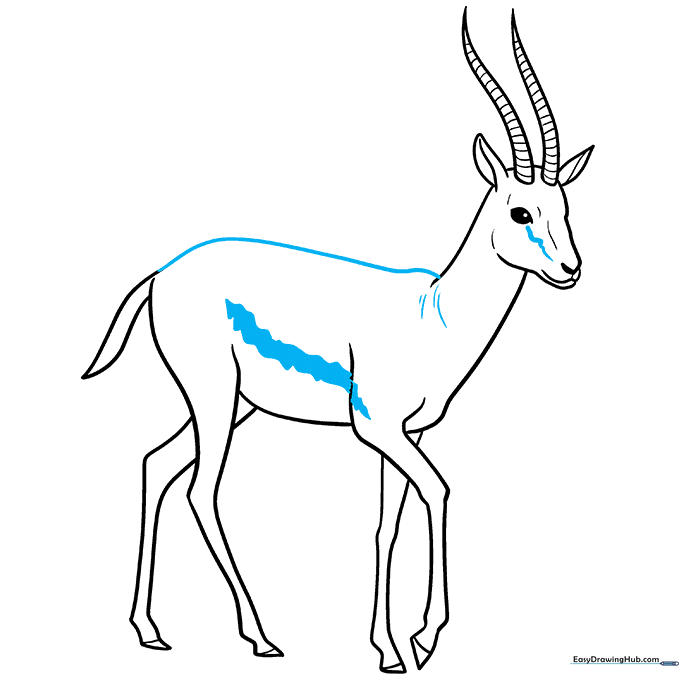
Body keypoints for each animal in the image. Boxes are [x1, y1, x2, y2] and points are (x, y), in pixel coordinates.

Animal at [82, 9, 594, 674]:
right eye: (520, 212)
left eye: (565, 206)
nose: (571, 269)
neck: (435, 316)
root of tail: (162, 273)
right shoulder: (376, 427)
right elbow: (438, 490)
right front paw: (425, 638)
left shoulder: (405, 435)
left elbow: (386, 527)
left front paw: (390, 650)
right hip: (214, 397)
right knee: (201, 491)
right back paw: (261, 636)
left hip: (233, 406)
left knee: (155, 465)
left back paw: (149, 629)